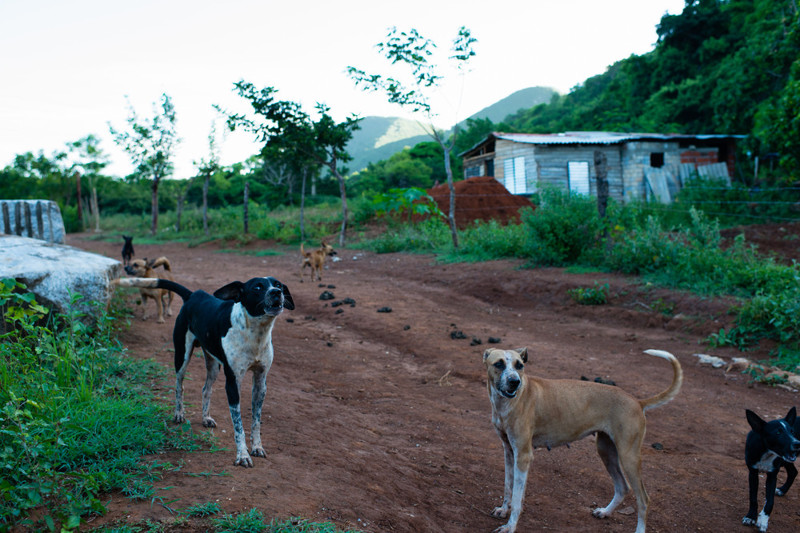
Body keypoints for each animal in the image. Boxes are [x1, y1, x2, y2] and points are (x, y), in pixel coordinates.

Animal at [117, 274, 296, 466]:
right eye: (257, 287)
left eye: (278, 285)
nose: (276, 292)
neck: (255, 333)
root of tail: (194, 294)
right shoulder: (233, 383)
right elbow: (238, 425)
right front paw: (242, 455)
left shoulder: (261, 383)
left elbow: (256, 421)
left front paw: (257, 447)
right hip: (182, 356)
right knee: (179, 385)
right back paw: (179, 413)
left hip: (213, 365)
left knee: (206, 389)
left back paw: (205, 418)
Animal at [482, 348, 680, 528]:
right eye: (499, 363)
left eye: (520, 365)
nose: (514, 381)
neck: (508, 402)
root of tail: (637, 402)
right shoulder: (509, 451)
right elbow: (509, 487)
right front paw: (503, 509)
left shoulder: (523, 456)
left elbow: (516, 499)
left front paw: (510, 526)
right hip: (606, 451)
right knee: (622, 487)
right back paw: (605, 512)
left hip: (628, 457)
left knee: (643, 500)